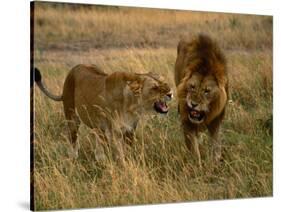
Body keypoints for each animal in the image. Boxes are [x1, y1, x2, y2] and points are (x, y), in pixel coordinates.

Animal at [34, 63, 172, 163]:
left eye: (164, 83)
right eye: (154, 88)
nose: (170, 93)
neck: (133, 105)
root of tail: (74, 68)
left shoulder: (130, 130)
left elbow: (128, 152)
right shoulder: (115, 132)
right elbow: (121, 155)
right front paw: (125, 169)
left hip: (98, 127)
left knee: (99, 142)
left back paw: (101, 160)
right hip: (72, 117)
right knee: (73, 141)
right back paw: (74, 160)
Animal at [175, 34, 228, 167]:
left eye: (207, 91)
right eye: (192, 87)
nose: (193, 104)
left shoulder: (216, 119)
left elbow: (215, 144)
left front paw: (214, 164)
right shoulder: (186, 119)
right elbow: (194, 148)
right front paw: (197, 167)